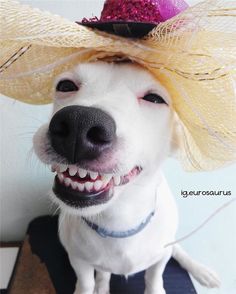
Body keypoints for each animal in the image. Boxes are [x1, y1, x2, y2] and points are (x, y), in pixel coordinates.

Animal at [33, 60, 221, 292]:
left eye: (155, 99)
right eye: (65, 85)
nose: (80, 123)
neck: (117, 222)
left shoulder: (160, 258)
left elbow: (154, 278)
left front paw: (156, 287)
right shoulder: (78, 259)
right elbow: (86, 282)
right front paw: (93, 287)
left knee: (176, 249)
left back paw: (202, 271)